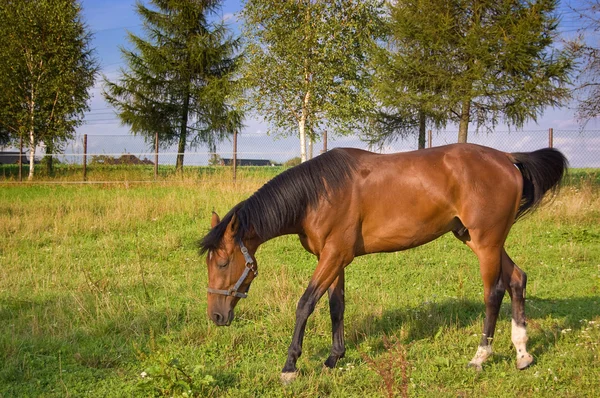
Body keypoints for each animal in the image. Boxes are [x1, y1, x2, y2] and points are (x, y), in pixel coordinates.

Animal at [200, 144, 568, 382]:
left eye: (223, 263)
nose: (216, 316)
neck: (318, 194)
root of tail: (507, 158)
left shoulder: (333, 257)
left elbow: (305, 304)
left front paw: (290, 365)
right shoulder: (334, 259)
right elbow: (336, 306)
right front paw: (333, 358)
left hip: (486, 242)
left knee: (494, 293)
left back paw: (480, 357)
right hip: (480, 239)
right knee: (517, 279)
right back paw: (522, 353)